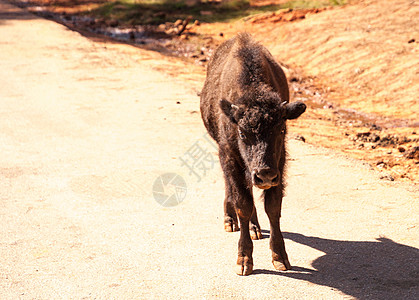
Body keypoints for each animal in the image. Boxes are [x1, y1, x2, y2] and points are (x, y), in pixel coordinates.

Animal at [199, 34, 306, 276]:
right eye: (241, 132)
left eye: (281, 129)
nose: (264, 175)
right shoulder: (230, 157)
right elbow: (243, 204)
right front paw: (244, 260)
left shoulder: (279, 164)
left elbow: (273, 207)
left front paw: (280, 258)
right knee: (232, 189)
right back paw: (230, 220)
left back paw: (255, 228)